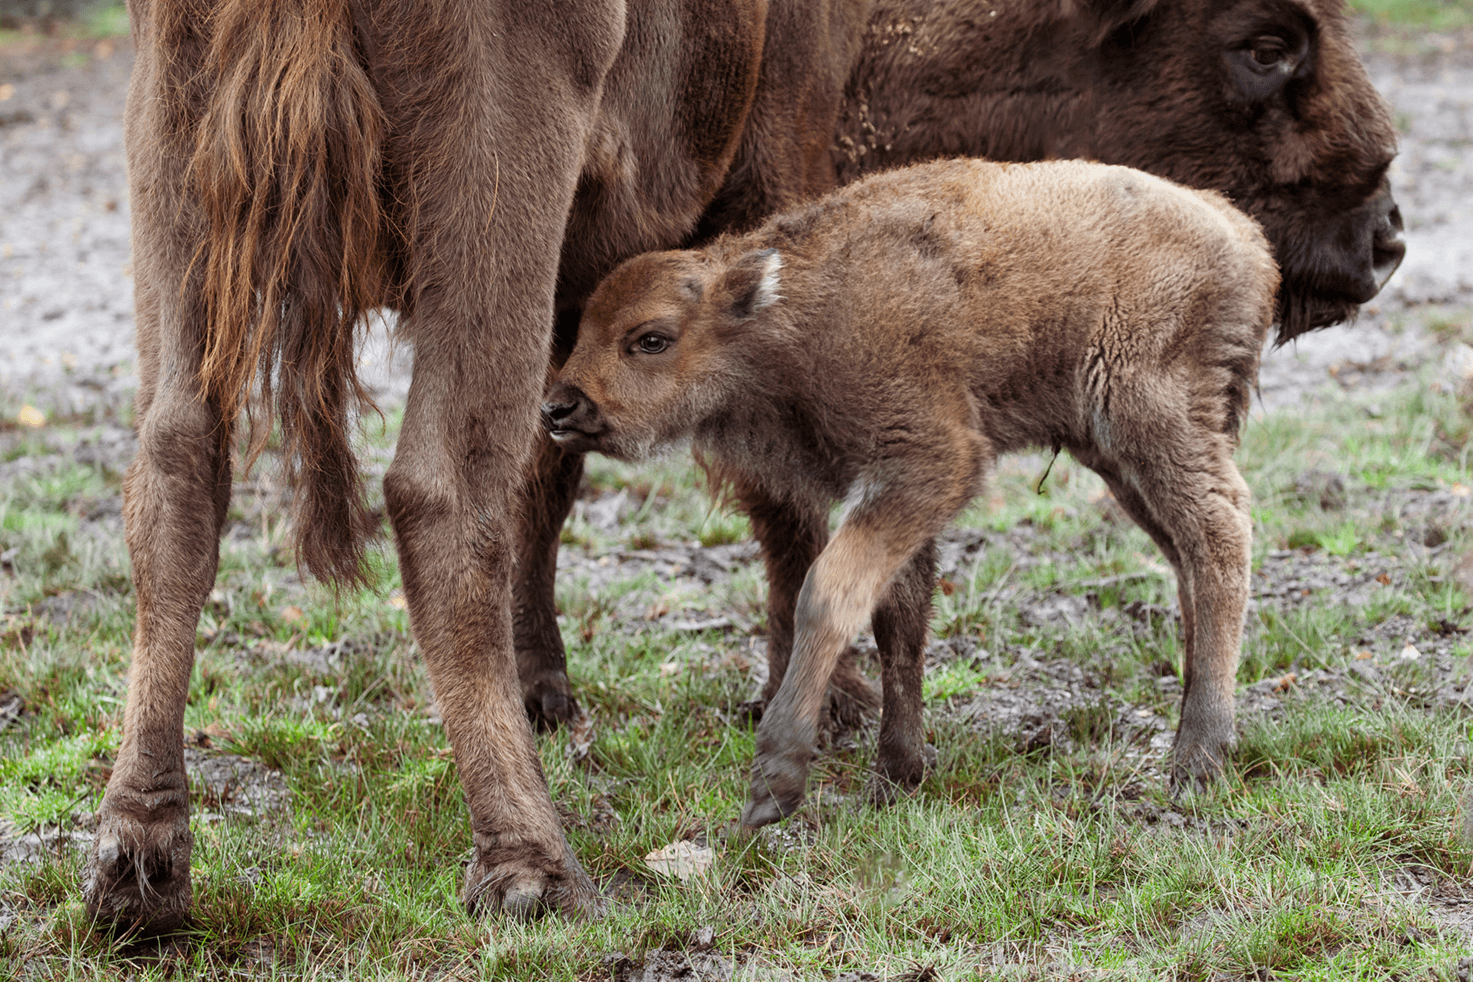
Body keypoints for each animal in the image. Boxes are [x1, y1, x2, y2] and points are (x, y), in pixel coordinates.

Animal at [542, 157, 1278, 824]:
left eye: (650, 339)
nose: (558, 407)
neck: (788, 313)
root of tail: (1241, 234)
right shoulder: (894, 493)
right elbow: (898, 618)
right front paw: (895, 774)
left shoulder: (928, 463)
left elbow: (829, 593)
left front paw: (774, 783)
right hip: (1117, 457)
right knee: (1187, 555)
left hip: (1149, 418)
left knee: (1219, 535)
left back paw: (1196, 759)